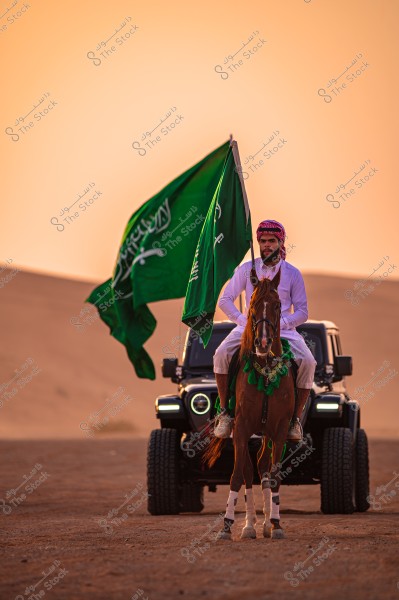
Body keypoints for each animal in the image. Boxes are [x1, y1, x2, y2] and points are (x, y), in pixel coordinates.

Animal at [205, 268, 296, 540]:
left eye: (278, 305)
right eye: (253, 304)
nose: (263, 343)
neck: (264, 368)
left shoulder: (278, 429)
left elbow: (274, 475)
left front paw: (276, 524)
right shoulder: (242, 427)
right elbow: (237, 475)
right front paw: (227, 525)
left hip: (266, 432)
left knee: (262, 465)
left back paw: (265, 522)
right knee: (247, 470)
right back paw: (248, 525)